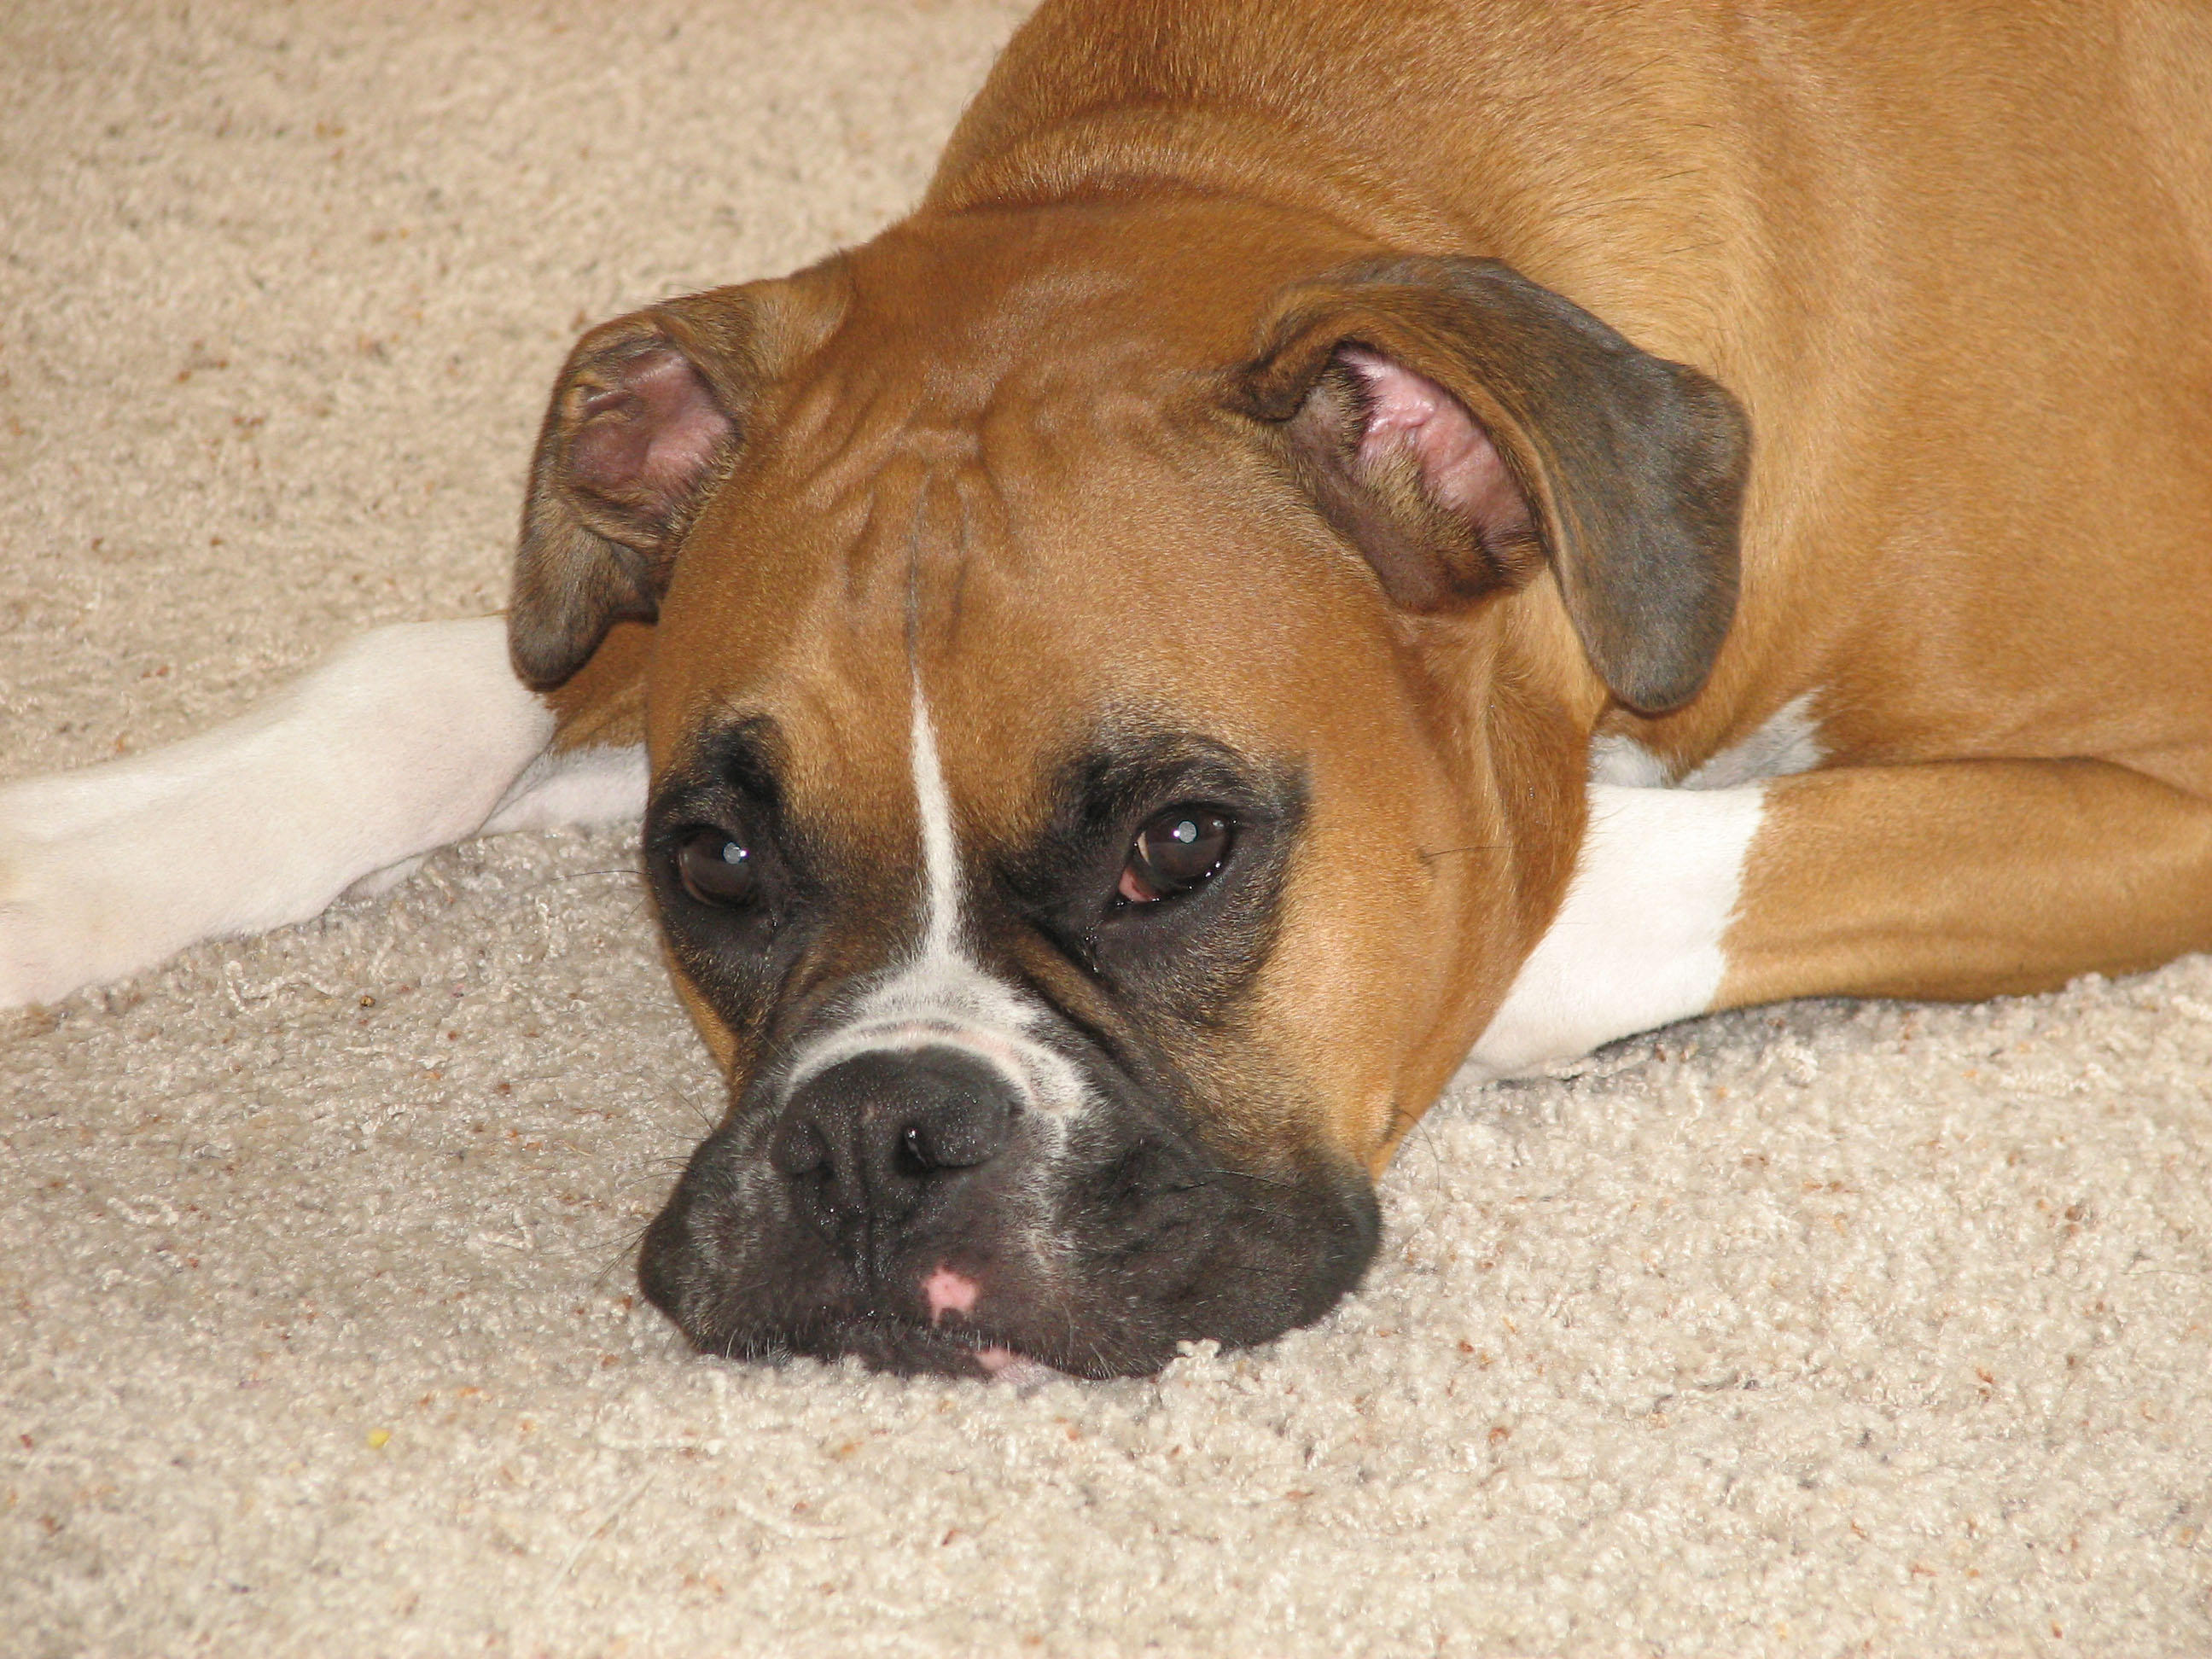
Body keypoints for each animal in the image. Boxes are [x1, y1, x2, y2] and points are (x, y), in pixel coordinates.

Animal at [4, 0, 2212, 1380]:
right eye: (715, 860)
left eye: (1177, 845)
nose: (876, 1136)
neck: (1290, 148)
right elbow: (421, 685)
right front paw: (69, 860)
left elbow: (1575, 911)